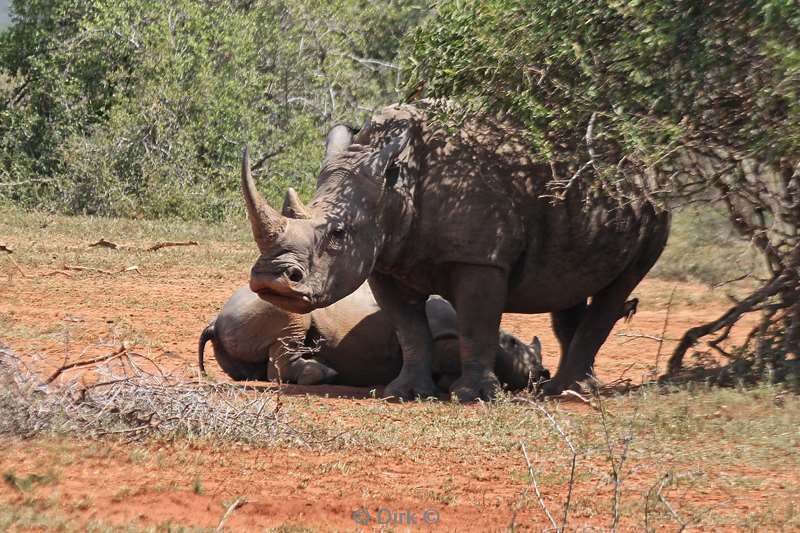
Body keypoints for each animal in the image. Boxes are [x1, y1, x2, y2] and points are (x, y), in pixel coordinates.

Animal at [200, 282, 552, 390]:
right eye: (514, 344)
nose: (543, 373)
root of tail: (215, 319)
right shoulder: (442, 333)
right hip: (270, 302)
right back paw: (325, 374)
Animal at [241, 107, 672, 400]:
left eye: (338, 233)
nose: (270, 279)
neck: (393, 190)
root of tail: (647, 165)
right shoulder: (384, 258)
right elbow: (410, 329)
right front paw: (404, 393)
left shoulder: (481, 258)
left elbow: (476, 323)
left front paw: (473, 396)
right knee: (570, 288)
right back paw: (569, 386)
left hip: (657, 210)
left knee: (620, 285)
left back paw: (568, 391)